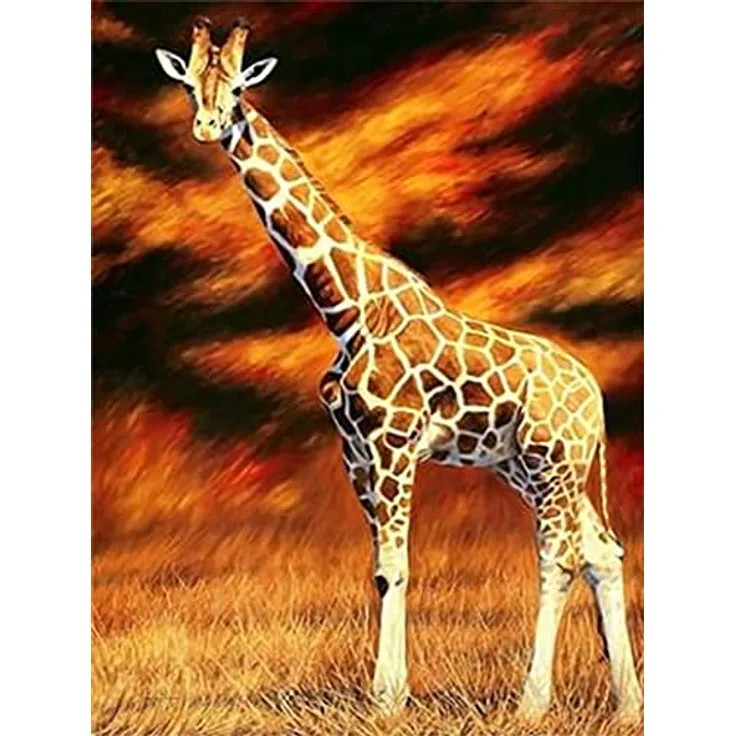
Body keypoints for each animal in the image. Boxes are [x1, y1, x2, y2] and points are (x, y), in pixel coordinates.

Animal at [155, 19, 643, 719]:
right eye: (191, 84)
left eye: (238, 86)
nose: (208, 123)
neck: (347, 308)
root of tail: (595, 395)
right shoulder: (355, 452)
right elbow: (382, 569)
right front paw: (386, 692)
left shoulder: (394, 445)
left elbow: (398, 566)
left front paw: (388, 699)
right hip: (530, 466)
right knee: (603, 550)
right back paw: (628, 703)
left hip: (553, 461)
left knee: (560, 557)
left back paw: (532, 702)